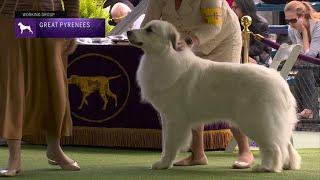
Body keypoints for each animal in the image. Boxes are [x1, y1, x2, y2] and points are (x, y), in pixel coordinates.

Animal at [127, 20, 300, 173]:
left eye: (150, 30)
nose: (128, 32)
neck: (163, 55)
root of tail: (280, 82)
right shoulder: (166, 117)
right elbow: (165, 141)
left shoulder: (174, 119)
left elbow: (169, 143)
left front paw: (163, 164)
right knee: (285, 143)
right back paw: (287, 165)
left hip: (257, 120)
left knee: (275, 146)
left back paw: (268, 167)